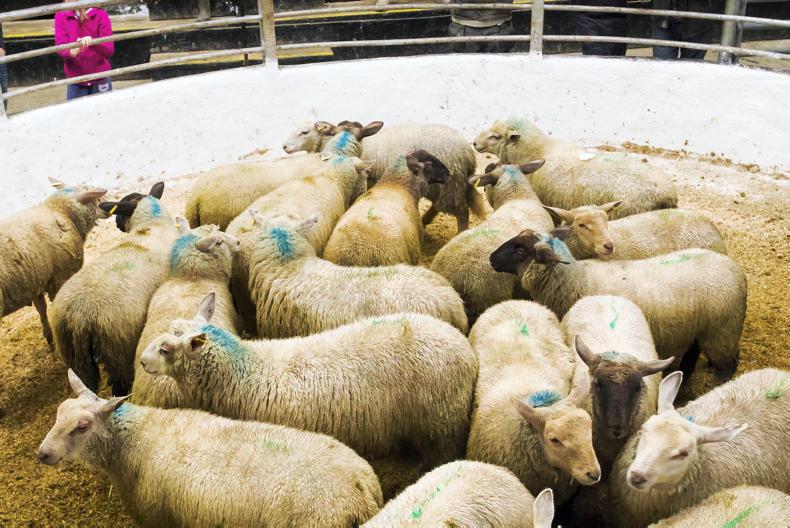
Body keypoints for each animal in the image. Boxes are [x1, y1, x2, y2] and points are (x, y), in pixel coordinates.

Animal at [0, 178, 106, 344]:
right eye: (98, 200)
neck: (61, 211)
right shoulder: (60, 278)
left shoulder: (36, 280)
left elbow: (41, 309)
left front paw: (49, 336)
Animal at [38, 369, 382, 528]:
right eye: (58, 413)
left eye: (83, 426)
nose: (43, 453)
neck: (135, 438)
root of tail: (361, 487)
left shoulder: (159, 518)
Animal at [490, 228, 746, 380]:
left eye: (520, 249)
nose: (491, 258)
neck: (576, 279)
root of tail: (738, 272)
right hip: (701, 330)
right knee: (692, 356)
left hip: (721, 333)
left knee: (727, 365)